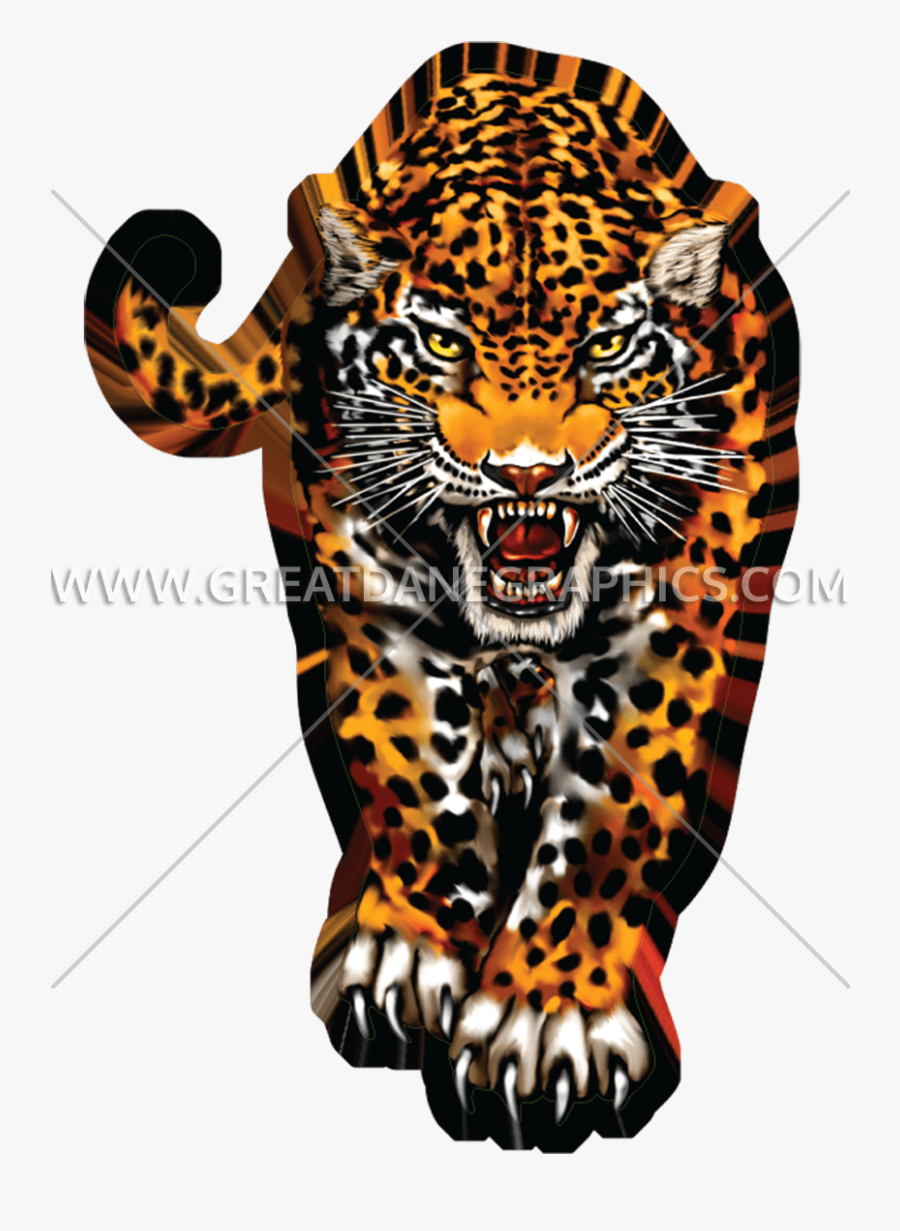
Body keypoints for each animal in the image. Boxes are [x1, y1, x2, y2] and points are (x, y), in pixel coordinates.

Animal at [83, 43, 799, 1151]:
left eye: (605, 350)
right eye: (444, 347)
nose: (525, 471)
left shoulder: (664, 628)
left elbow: (604, 824)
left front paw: (546, 1017)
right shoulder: (377, 605)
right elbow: (415, 777)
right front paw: (411, 952)